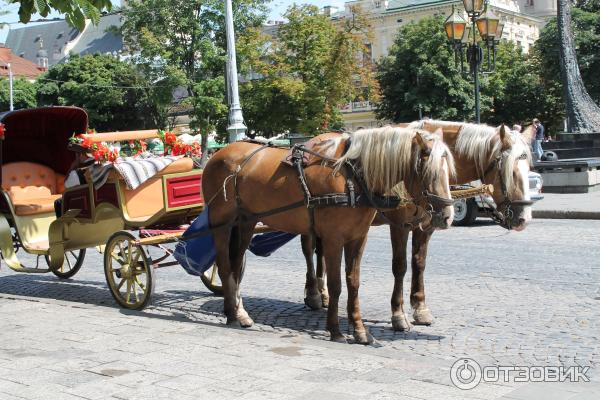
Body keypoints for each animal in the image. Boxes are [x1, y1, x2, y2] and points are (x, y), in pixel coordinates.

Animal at [202, 127, 454, 344]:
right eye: (428, 171)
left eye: (448, 171)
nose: (447, 216)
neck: (352, 176)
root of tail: (218, 156)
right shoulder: (334, 239)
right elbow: (335, 285)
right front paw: (335, 330)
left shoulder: (358, 238)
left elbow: (353, 282)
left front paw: (360, 331)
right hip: (221, 224)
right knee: (224, 266)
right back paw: (232, 314)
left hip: (246, 222)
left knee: (236, 266)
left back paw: (239, 313)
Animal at [304, 121, 536, 332]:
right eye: (510, 171)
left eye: (528, 168)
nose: (524, 218)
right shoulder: (400, 226)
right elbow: (400, 266)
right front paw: (398, 314)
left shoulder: (426, 226)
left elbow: (419, 263)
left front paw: (420, 307)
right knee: (309, 251)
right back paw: (314, 293)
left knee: (321, 252)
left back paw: (323, 293)